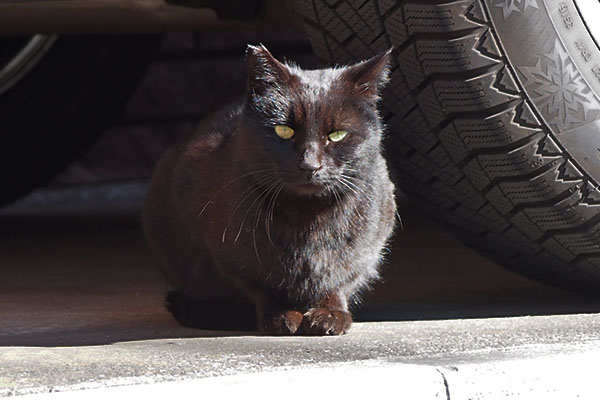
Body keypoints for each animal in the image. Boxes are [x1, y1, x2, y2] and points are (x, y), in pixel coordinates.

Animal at [142, 45, 396, 336]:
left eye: (337, 135)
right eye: (284, 130)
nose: (310, 164)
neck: (306, 218)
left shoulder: (368, 247)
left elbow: (339, 279)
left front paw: (330, 314)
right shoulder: (227, 252)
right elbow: (261, 283)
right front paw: (281, 315)